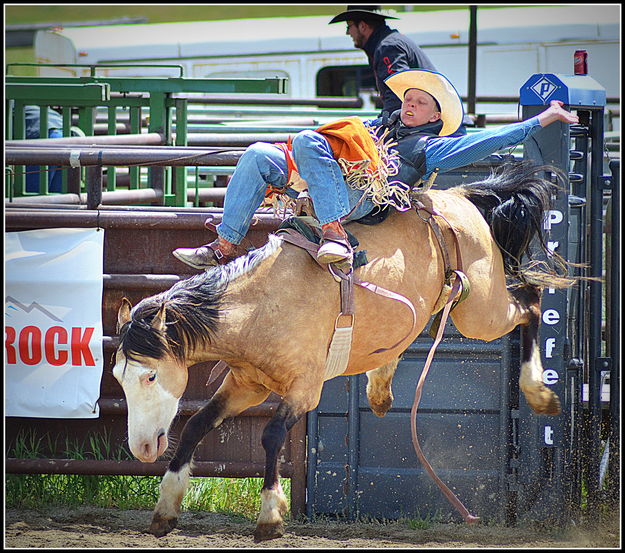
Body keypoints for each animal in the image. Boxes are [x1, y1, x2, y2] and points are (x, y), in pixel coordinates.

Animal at [113, 161, 572, 540]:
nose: (142, 449)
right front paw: (166, 508)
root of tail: (460, 196)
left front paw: (270, 517)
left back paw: (540, 393)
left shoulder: (304, 388)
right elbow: (196, 425)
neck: (263, 303)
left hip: (481, 312)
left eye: (150, 375)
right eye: (118, 377)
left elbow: (271, 435)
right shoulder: (247, 384)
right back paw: (380, 388)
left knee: (530, 302)